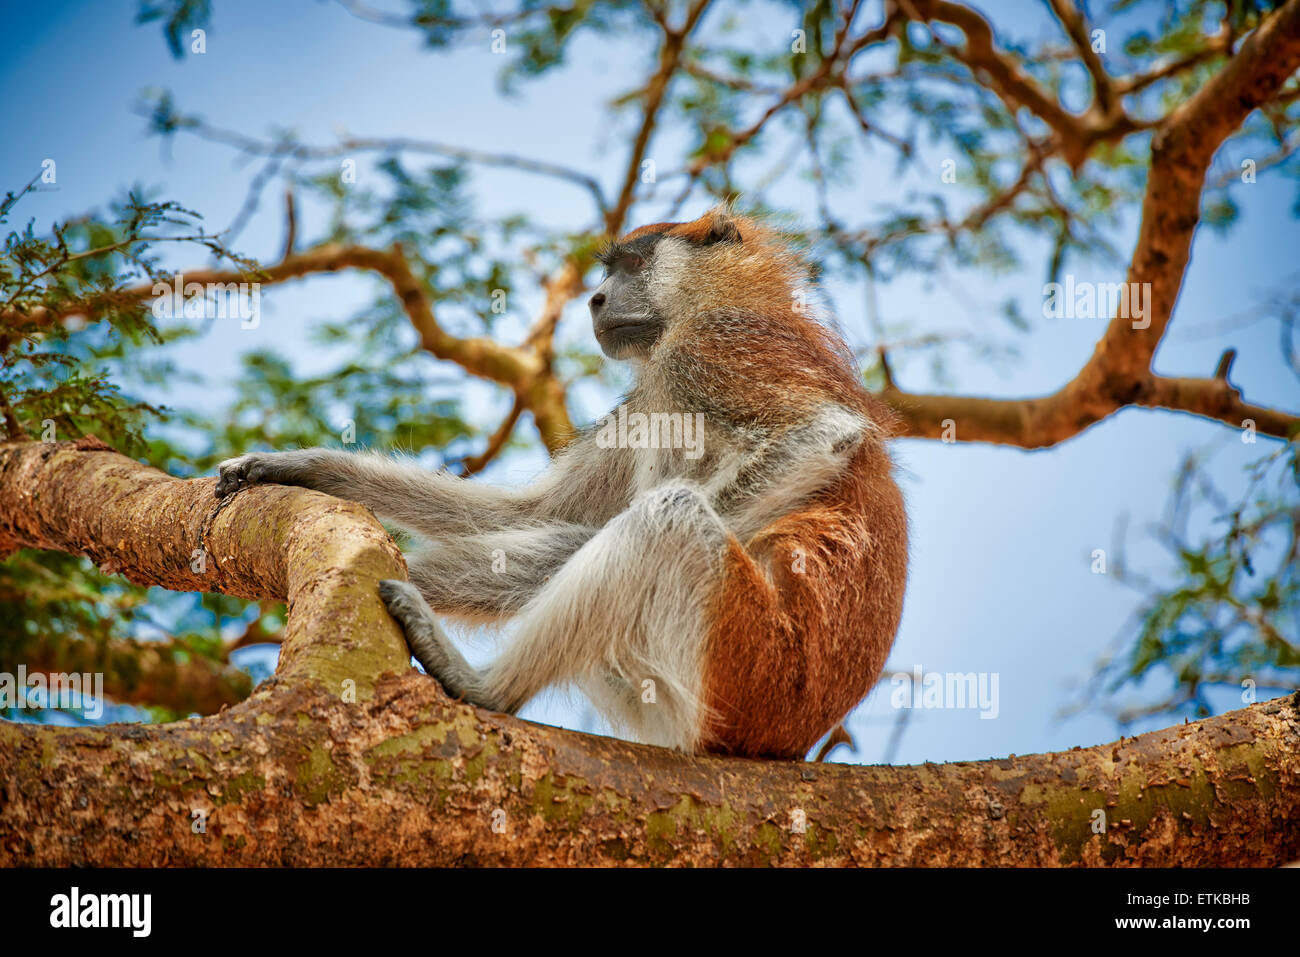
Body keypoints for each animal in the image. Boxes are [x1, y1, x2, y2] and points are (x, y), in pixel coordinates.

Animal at [213, 205, 909, 759]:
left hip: (744, 662)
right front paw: (299, 467)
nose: (595, 299)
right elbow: (533, 512)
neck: (729, 300)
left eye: (632, 265)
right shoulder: (652, 390)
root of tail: (787, 737)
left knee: (667, 518)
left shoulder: (711, 350)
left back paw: (486, 689)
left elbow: (825, 433)